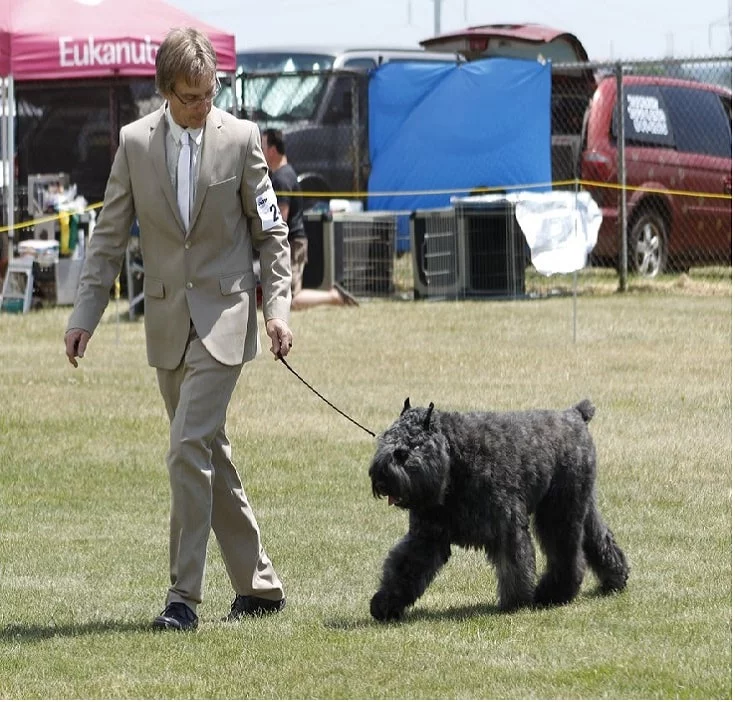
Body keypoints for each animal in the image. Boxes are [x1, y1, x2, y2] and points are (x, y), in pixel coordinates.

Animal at [370, 398, 628, 624]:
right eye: (384, 441)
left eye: (403, 451)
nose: (381, 478)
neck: (457, 457)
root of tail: (575, 414)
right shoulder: (426, 537)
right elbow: (404, 568)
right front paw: (385, 604)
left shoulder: (507, 527)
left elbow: (514, 564)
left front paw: (515, 602)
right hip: (581, 506)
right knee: (599, 537)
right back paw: (615, 578)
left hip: (559, 512)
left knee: (566, 555)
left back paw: (553, 594)